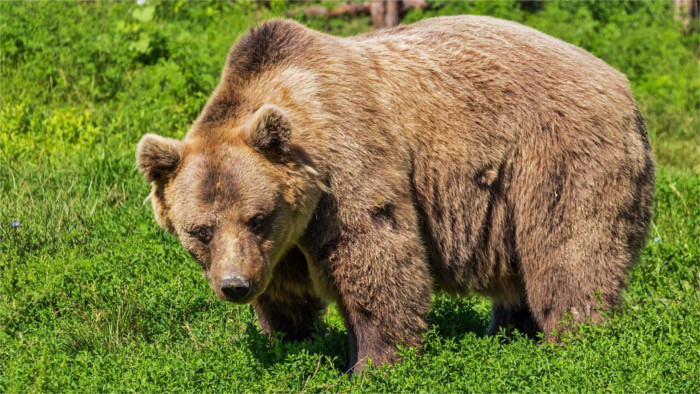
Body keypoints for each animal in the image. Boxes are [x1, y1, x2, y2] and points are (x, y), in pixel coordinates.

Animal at [138, 15, 656, 372]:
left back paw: (575, 341)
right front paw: (290, 341)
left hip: (557, 157)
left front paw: (371, 363)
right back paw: (506, 334)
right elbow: (286, 293)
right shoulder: (281, 242)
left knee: (569, 252)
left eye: (256, 216)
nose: (234, 286)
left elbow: (376, 257)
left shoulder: (348, 164)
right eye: (200, 230)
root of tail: (623, 83)